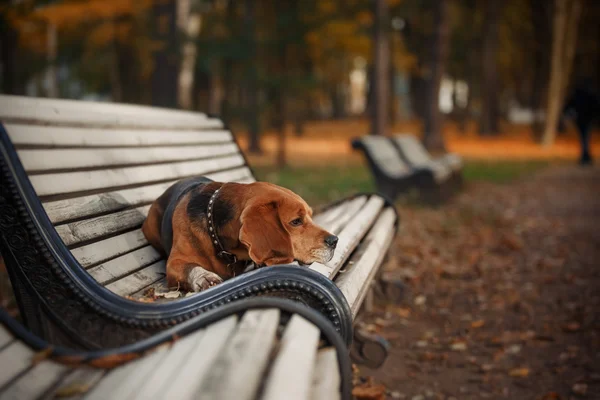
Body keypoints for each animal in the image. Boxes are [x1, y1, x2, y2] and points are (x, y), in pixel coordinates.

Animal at [141, 177, 338, 292]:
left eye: (310, 215)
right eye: (296, 221)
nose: (335, 241)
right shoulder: (174, 264)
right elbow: (190, 267)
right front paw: (205, 278)